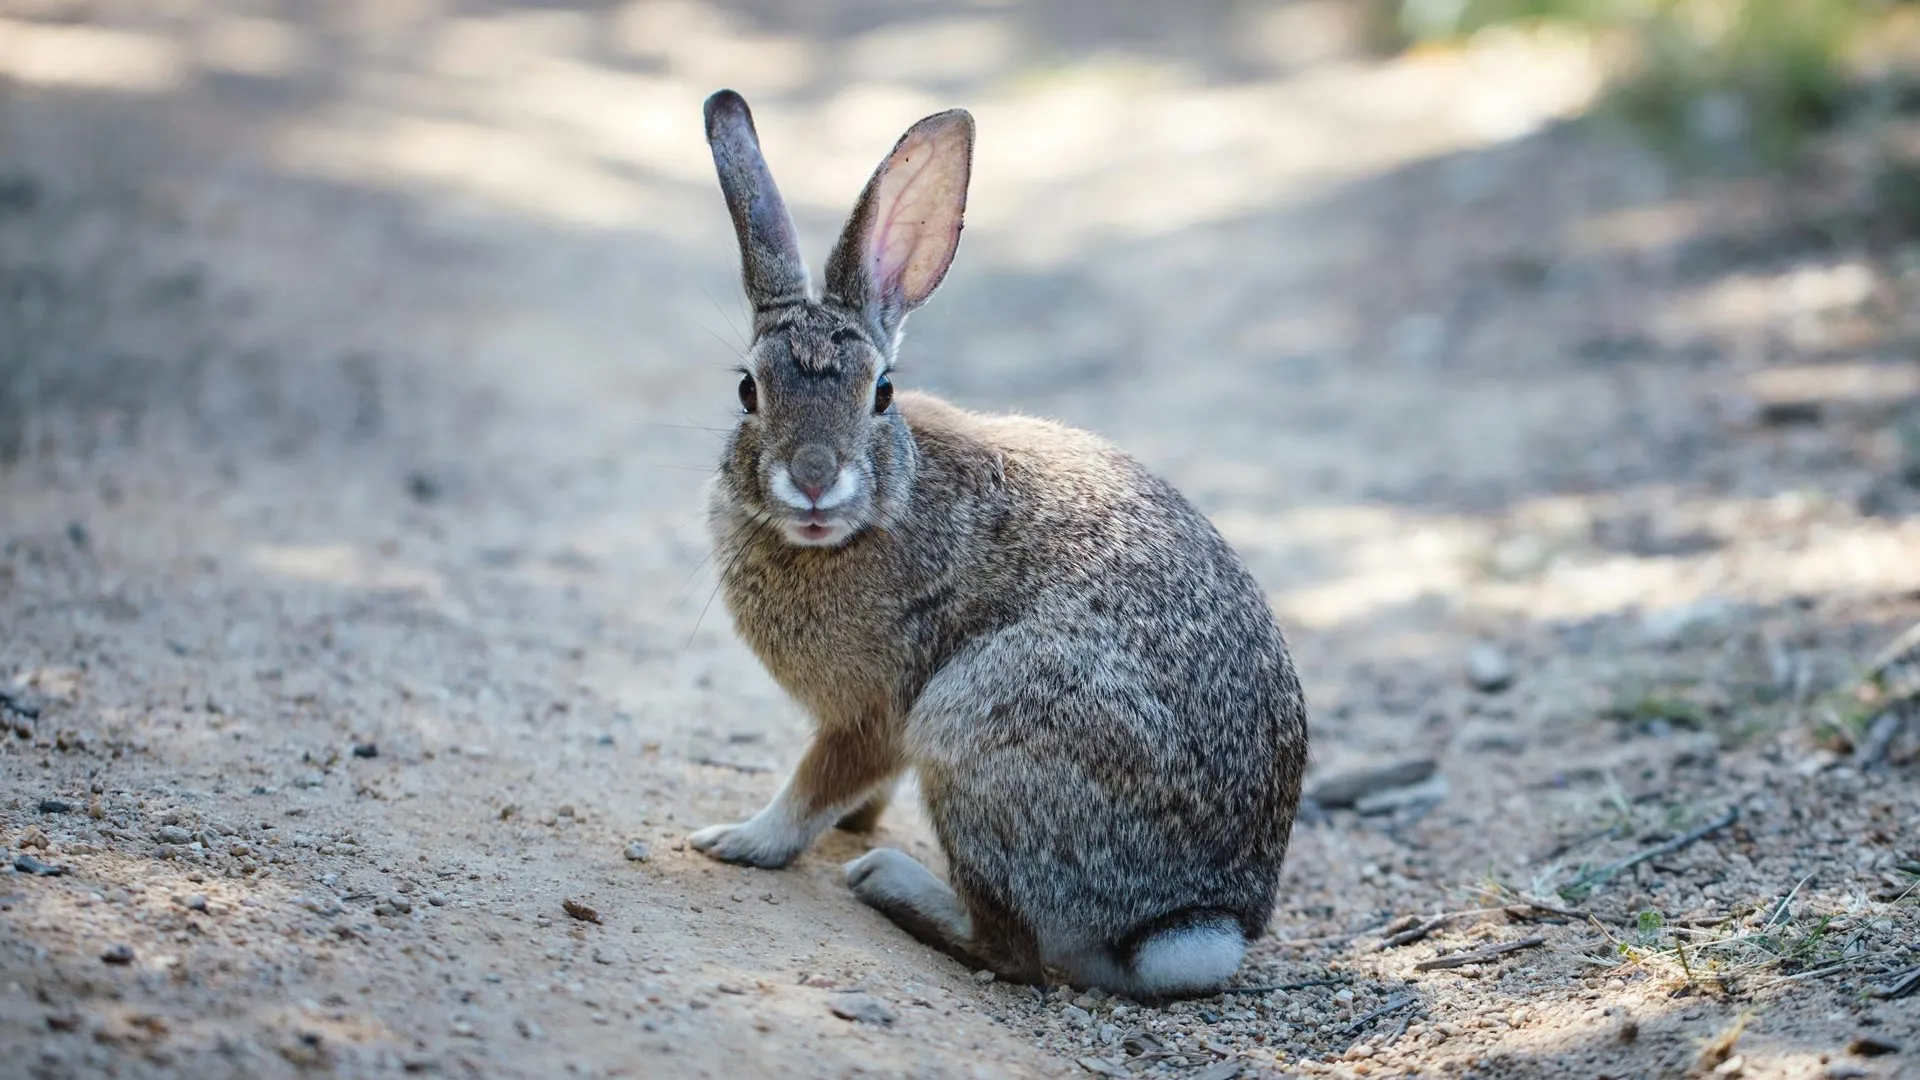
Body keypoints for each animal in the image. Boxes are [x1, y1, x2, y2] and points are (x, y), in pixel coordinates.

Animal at [687, 88, 1305, 999]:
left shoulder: (880, 709)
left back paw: (889, 883)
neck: (882, 507)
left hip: (975, 728)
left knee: (1010, 950)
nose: (813, 481)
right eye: (746, 390)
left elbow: (817, 782)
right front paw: (855, 821)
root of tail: (1193, 921)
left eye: (882, 393)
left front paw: (738, 841)